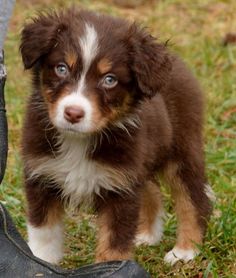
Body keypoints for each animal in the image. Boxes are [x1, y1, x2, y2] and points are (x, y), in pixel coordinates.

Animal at [19, 8, 212, 264]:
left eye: (109, 80)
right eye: (61, 68)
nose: (73, 113)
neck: (79, 141)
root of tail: (177, 63)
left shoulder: (120, 190)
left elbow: (114, 243)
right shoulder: (42, 176)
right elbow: (44, 236)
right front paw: (40, 263)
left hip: (182, 148)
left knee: (193, 199)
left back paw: (185, 250)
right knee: (152, 190)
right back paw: (147, 235)